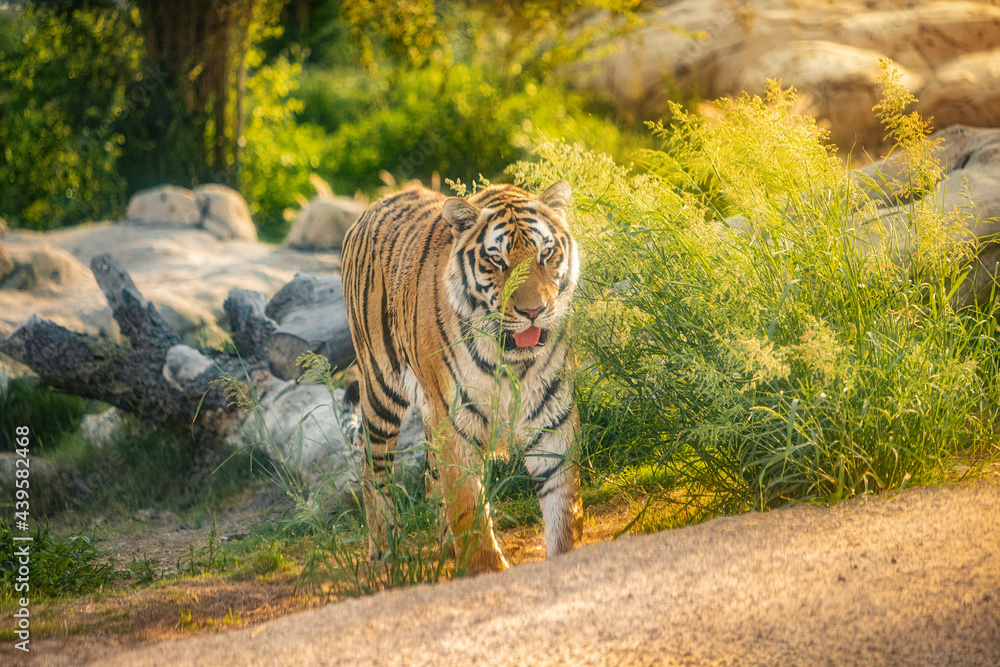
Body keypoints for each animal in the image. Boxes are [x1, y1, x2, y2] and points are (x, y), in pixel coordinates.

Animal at [341, 180, 583, 575]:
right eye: (497, 261)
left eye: (546, 254)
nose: (534, 311)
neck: (510, 361)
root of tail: (374, 204)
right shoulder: (457, 424)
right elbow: (470, 511)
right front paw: (485, 569)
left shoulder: (551, 417)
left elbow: (563, 510)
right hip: (380, 387)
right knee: (371, 467)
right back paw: (385, 552)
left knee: (430, 476)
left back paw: (446, 547)